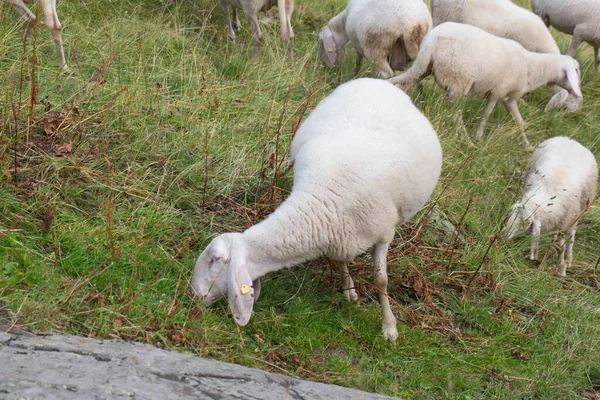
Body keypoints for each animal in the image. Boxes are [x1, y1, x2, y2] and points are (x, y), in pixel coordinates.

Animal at [190, 79, 442, 344]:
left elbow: (380, 281)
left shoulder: (383, 233)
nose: (193, 294)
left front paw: (389, 327)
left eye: (214, 259)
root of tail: (376, 80)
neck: (322, 199)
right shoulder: (340, 232)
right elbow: (341, 259)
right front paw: (348, 288)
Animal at [390, 23, 580, 152]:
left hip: (425, 68)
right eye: (576, 70)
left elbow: (519, 121)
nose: (579, 96)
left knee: (406, 84)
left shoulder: (509, 99)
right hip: (457, 83)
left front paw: (527, 145)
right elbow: (487, 113)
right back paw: (467, 141)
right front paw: (479, 136)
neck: (531, 67)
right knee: (455, 115)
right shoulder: (497, 92)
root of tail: (430, 41)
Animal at [504, 136, 596, 276]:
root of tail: (570, 140)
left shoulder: (567, 221)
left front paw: (562, 268)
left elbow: (562, 245)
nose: (504, 235)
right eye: (512, 214)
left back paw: (569, 257)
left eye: (527, 222)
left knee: (572, 235)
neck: (548, 193)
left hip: (580, 211)